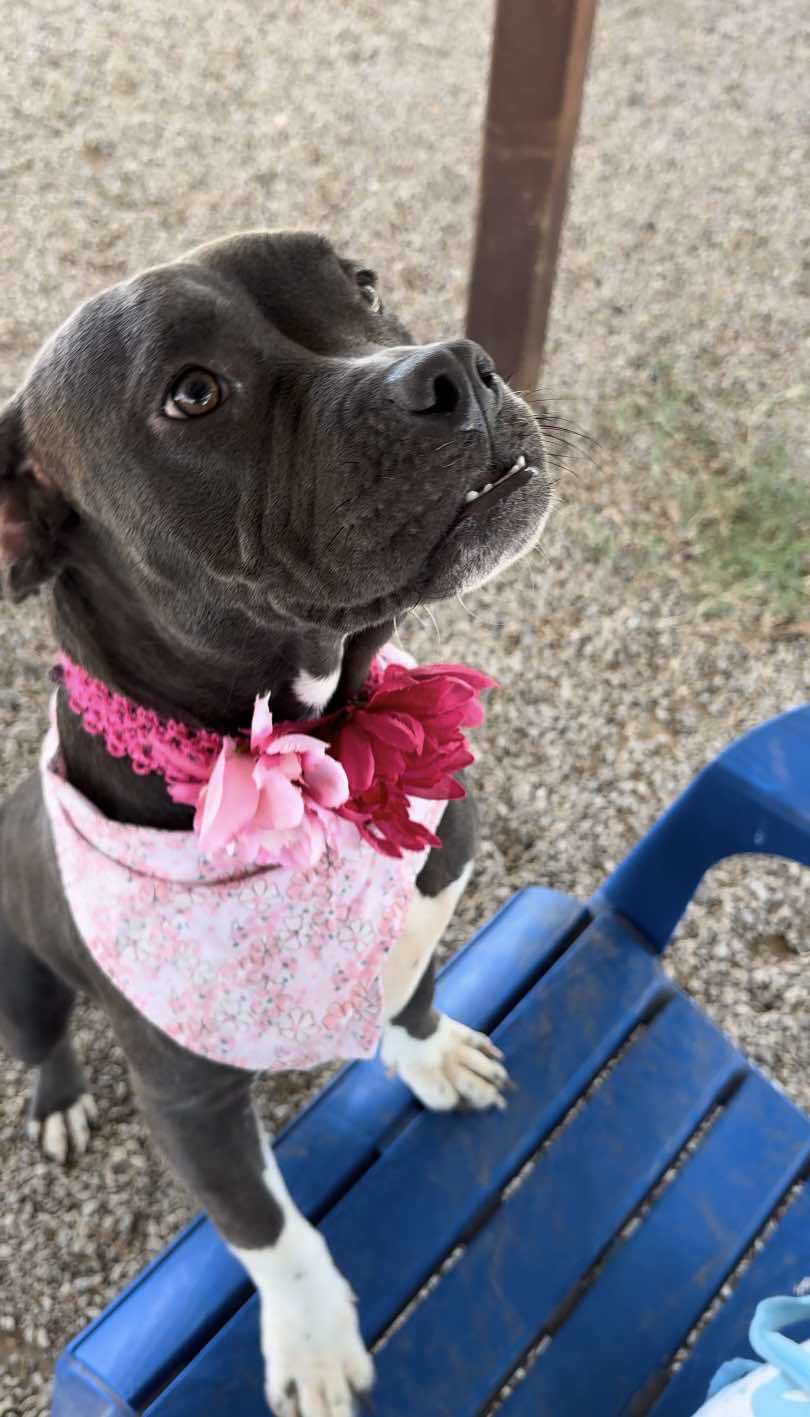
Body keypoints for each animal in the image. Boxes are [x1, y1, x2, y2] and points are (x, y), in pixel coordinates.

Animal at [0, 226, 549, 1411]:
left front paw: (430, 1055)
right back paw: (59, 1097)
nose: (457, 367)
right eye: (193, 393)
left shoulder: (419, 911)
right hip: (15, 975)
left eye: (365, 285)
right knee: (42, 1035)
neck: (325, 755)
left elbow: (414, 993)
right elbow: (266, 1226)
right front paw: (311, 1339)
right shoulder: (191, 1104)